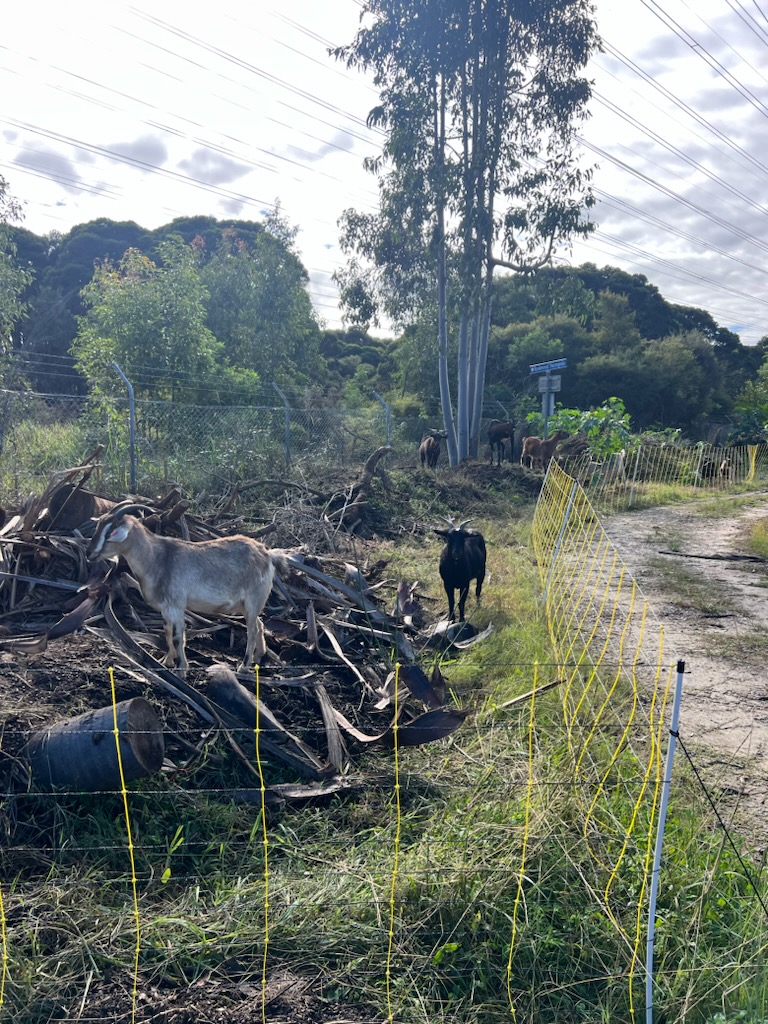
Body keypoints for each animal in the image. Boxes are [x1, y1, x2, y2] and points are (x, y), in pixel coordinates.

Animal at [88, 503, 288, 673]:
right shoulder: (166, 608)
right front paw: (166, 661)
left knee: (252, 630)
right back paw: (259, 658)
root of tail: (268, 554)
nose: (90, 554)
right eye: (98, 527)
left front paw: (181, 669)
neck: (157, 558)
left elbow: (177, 636)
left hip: (254, 598)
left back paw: (244, 666)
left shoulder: (176, 605)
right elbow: (167, 632)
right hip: (245, 604)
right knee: (260, 625)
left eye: (111, 532)